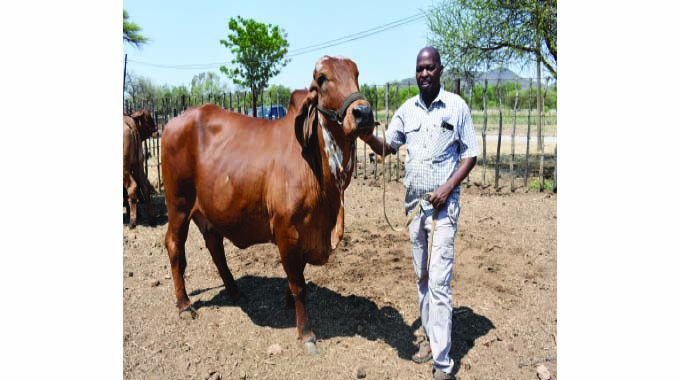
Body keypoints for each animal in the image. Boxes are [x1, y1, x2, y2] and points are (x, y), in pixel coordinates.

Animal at [161, 56, 374, 356]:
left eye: (356, 74)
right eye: (322, 78)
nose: (363, 112)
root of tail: (175, 121)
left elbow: (298, 275)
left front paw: (287, 303)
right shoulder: (287, 231)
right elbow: (299, 284)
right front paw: (306, 333)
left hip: (209, 210)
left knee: (215, 247)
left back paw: (235, 291)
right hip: (178, 205)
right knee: (174, 246)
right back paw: (184, 304)